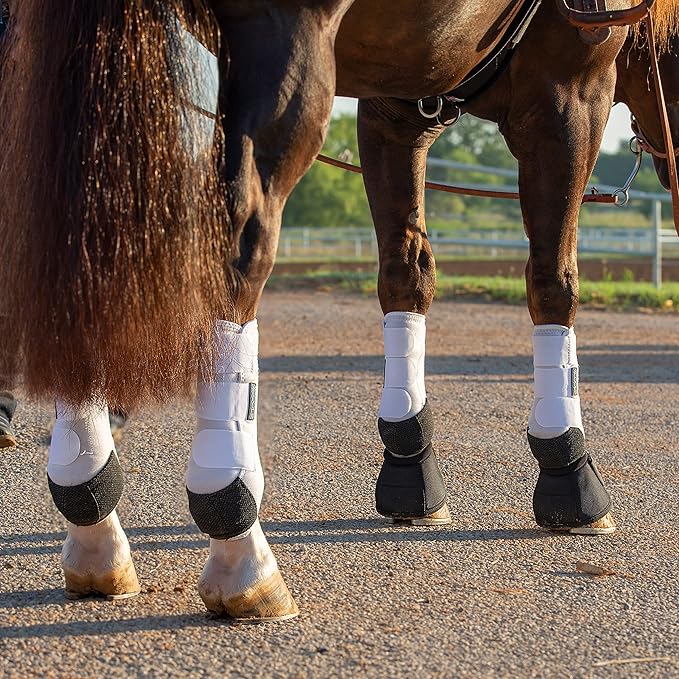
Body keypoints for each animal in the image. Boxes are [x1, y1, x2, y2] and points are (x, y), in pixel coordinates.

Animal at [0, 0, 678, 622]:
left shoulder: (395, 103)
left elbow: (407, 274)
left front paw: (410, 467)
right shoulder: (570, 91)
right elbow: (554, 283)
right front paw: (568, 467)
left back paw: (91, 512)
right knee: (236, 241)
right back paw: (238, 541)